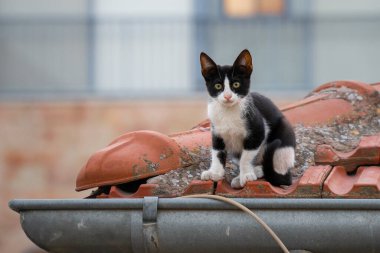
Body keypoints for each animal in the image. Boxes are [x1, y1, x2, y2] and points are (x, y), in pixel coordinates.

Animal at [200, 49, 296, 188]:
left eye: (236, 84)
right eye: (218, 86)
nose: (228, 96)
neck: (228, 112)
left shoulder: (258, 131)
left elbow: (246, 156)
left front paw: (246, 175)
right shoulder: (216, 132)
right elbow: (217, 152)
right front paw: (215, 172)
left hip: (284, 134)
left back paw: (257, 171)